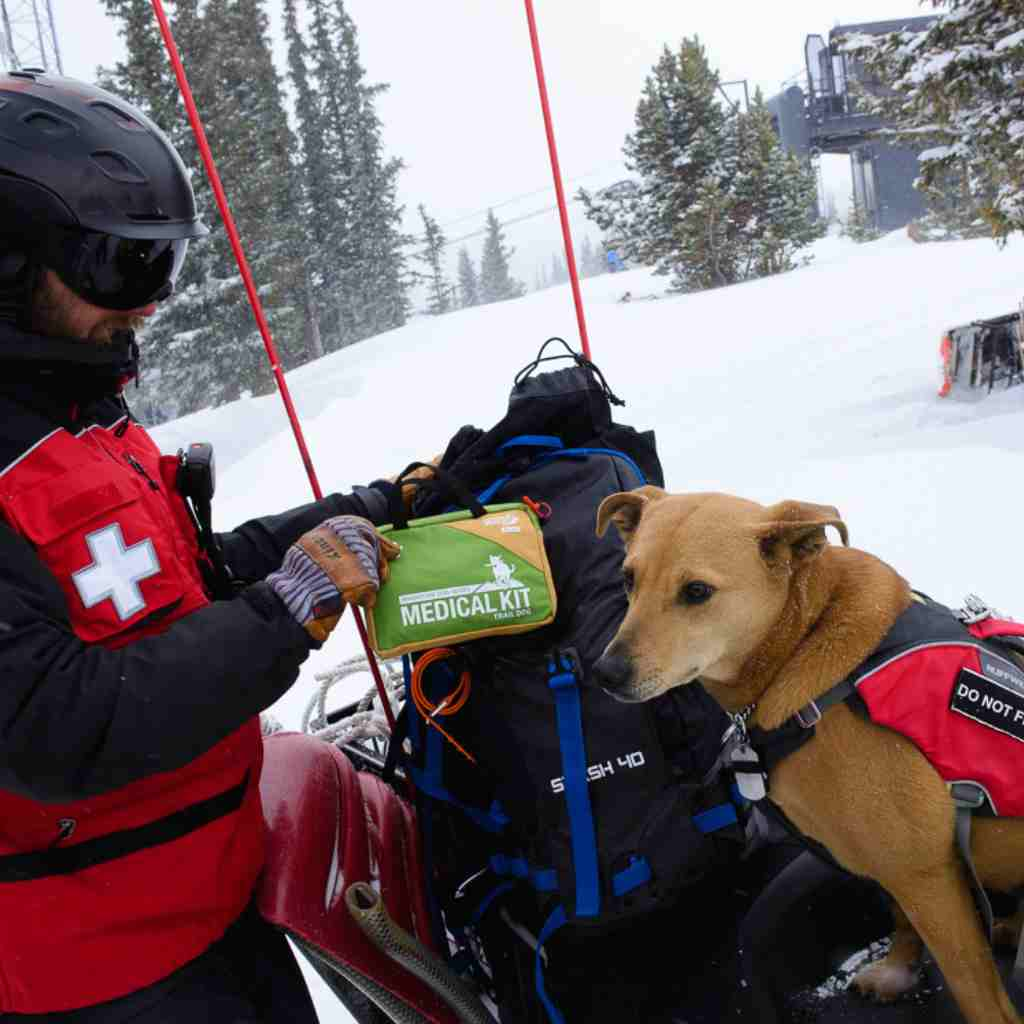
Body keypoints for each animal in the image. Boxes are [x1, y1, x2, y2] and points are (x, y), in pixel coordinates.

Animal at [593, 487, 1024, 1024]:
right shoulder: (898, 868)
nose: (605, 673)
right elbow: (900, 918)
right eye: (628, 579)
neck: (801, 642)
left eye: (696, 592)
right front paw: (897, 972)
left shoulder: (926, 876)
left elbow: (980, 996)